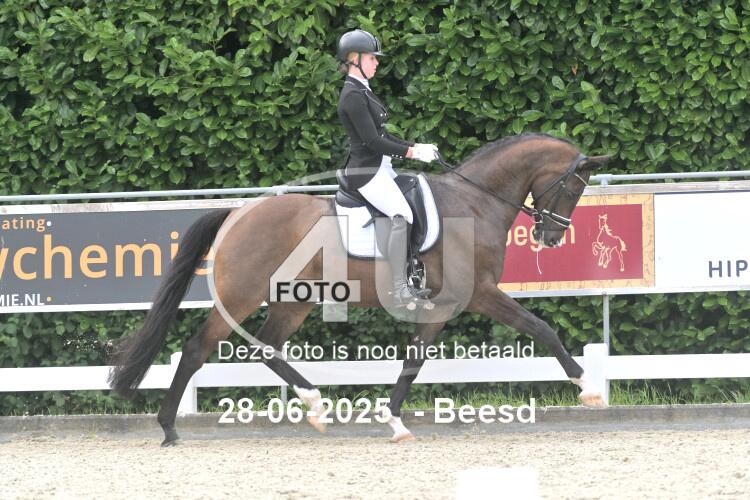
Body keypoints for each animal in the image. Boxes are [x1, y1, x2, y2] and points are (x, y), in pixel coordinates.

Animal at [108, 133, 611, 445]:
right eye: (573, 189)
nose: (552, 236)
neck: (474, 201)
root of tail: (236, 213)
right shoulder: (480, 293)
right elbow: (542, 329)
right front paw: (588, 388)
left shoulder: (441, 305)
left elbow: (413, 362)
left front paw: (395, 423)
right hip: (242, 295)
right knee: (197, 349)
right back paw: (170, 428)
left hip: (293, 301)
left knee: (267, 347)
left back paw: (314, 408)